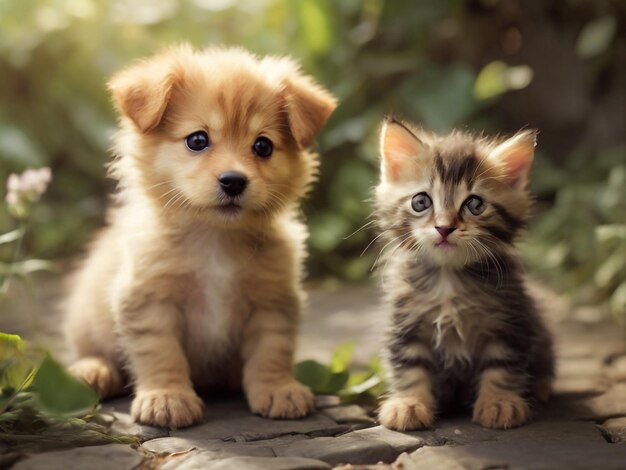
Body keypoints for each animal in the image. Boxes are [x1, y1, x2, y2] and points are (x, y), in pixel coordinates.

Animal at [64, 46, 336, 428]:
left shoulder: (273, 300)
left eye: (263, 146)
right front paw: (167, 397)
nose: (234, 181)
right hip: (87, 319)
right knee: (94, 352)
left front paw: (278, 388)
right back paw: (92, 371)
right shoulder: (149, 300)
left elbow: (271, 350)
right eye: (197, 140)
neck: (215, 239)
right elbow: (161, 352)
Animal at [370, 117, 552, 430]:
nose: (444, 227)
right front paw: (408, 403)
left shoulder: (510, 319)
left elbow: (503, 364)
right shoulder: (404, 321)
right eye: (421, 202)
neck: (448, 279)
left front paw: (499, 402)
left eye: (475, 204)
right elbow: (408, 365)